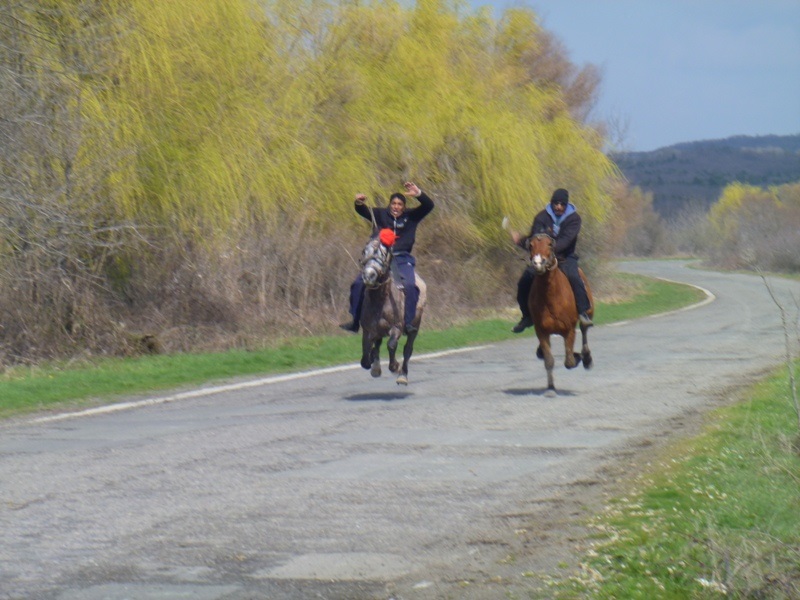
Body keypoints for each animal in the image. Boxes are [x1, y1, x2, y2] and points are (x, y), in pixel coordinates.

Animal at [360, 236, 428, 384]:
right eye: (364, 251)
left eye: (384, 253)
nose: (368, 276)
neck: (381, 299)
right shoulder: (368, 330)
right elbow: (366, 354)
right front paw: (373, 364)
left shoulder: (396, 327)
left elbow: (391, 345)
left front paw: (394, 366)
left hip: (415, 326)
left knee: (408, 349)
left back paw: (402, 375)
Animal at [528, 233, 592, 394]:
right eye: (531, 245)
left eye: (550, 244)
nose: (538, 263)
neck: (551, 295)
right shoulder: (542, 331)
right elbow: (549, 360)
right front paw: (550, 388)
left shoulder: (569, 330)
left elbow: (569, 361)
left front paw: (578, 356)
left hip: (589, 312)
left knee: (584, 329)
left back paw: (586, 357)